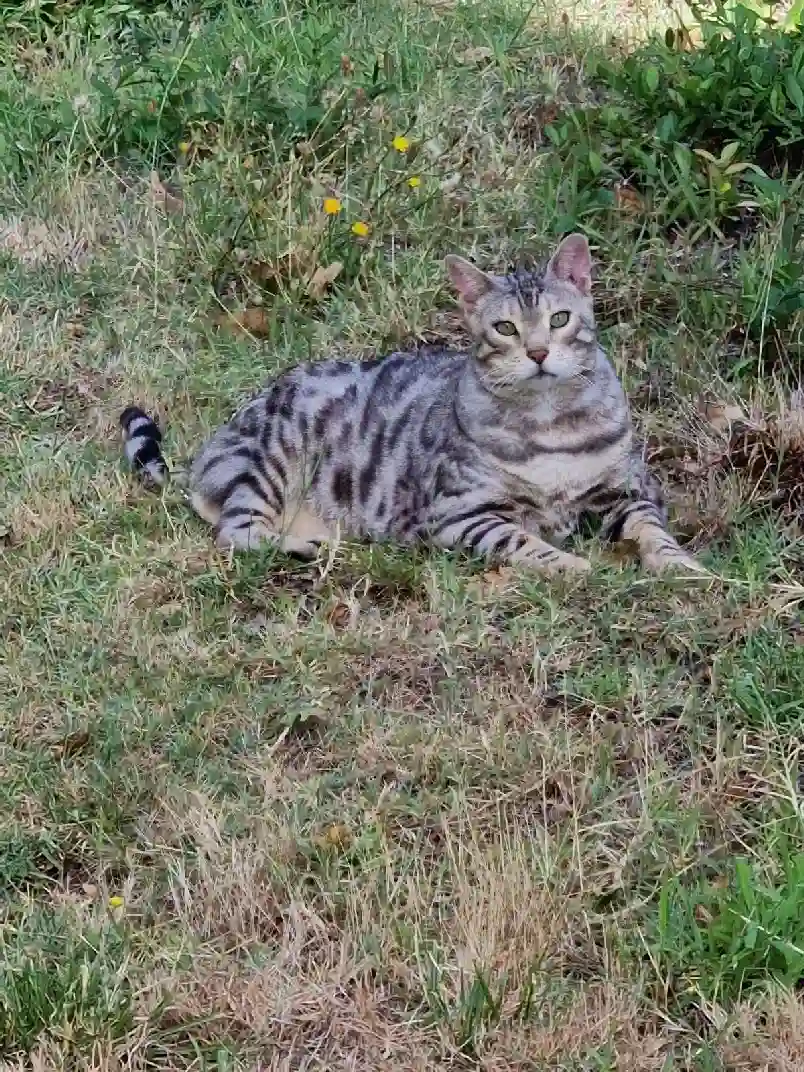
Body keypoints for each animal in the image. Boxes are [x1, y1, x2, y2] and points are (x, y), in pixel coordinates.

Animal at [119, 230, 703, 574]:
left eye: (559, 319)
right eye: (505, 328)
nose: (537, 352)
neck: (550, 424)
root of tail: (207, 451)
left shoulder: (630, 491)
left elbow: (654, 533)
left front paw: (683, 568)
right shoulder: (461, 515)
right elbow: (524, 543)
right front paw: (573, 565)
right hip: (270, 464)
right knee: (236, 533)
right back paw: (306, 549)